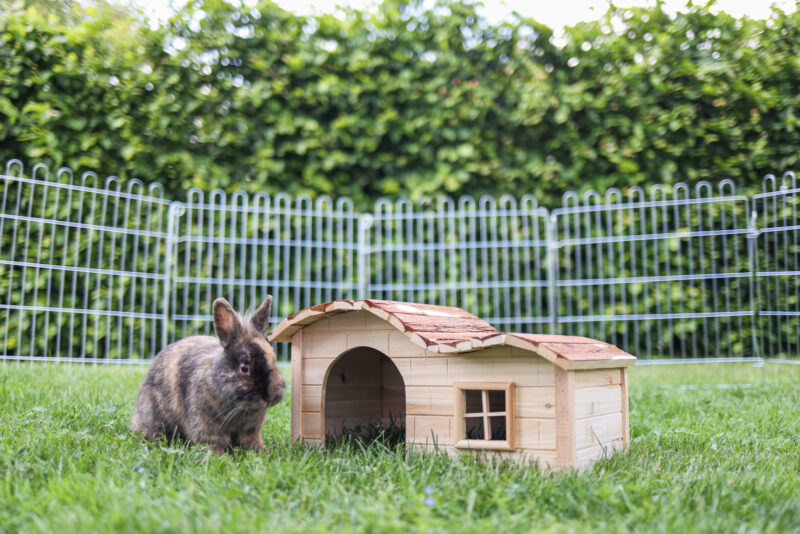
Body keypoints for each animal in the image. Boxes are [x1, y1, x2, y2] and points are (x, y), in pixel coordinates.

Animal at [134, 296, 288, 454]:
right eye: (244, 367)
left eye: (274, 360)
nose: (269, 397)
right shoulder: (206, 428)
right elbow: (213, 443)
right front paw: (217, 456)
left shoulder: (251, 430)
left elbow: (251, 441)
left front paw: (261, 451)